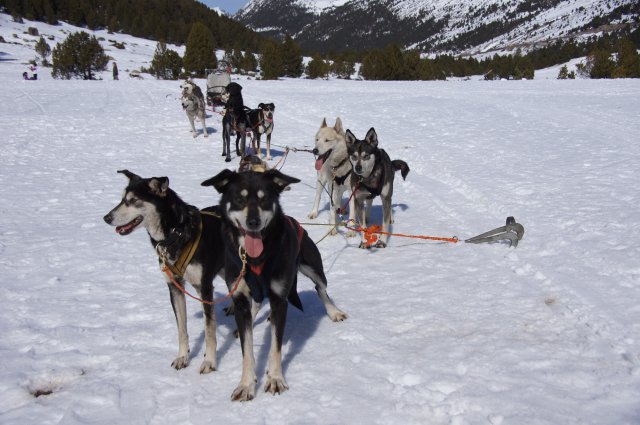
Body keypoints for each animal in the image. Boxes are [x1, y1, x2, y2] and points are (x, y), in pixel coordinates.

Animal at [103, 170, 225, 374]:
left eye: (133, 200)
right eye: (122, 199)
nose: (106, 218)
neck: (176, 233)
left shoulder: (205, 287)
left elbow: (210, 330)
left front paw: (209, 361)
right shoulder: (174, 288)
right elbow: (182, 330)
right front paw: (182, 357)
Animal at [202, 168, 348, 398]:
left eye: (265, 199)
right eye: (239, 199)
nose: (253, 222)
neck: (255, 259)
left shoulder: (279, 299)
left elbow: (275, 346)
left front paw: (275, 379)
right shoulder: (240, 300)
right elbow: (247, 349)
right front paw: (246, 384)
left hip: (314, 268)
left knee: (321, 289)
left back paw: (334, 311)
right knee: (257, 303)